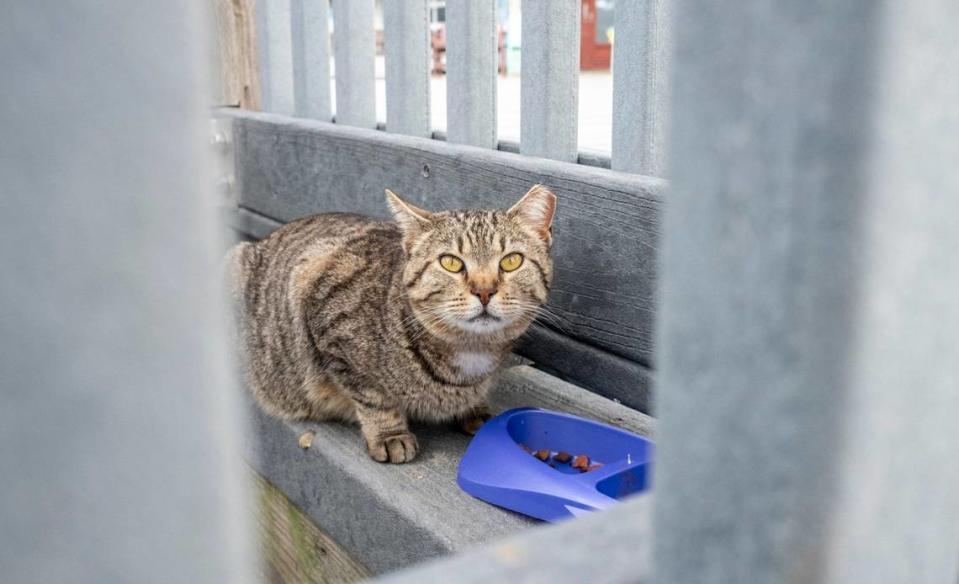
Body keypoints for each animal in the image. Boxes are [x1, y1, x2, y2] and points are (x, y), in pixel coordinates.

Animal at [227, 185, 556, 464]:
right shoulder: (329, 324)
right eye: (450, 262)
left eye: (511, 261)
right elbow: (373, 396)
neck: (471, 351)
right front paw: (389, 434)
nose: (484, 290)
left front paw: (475, 408)